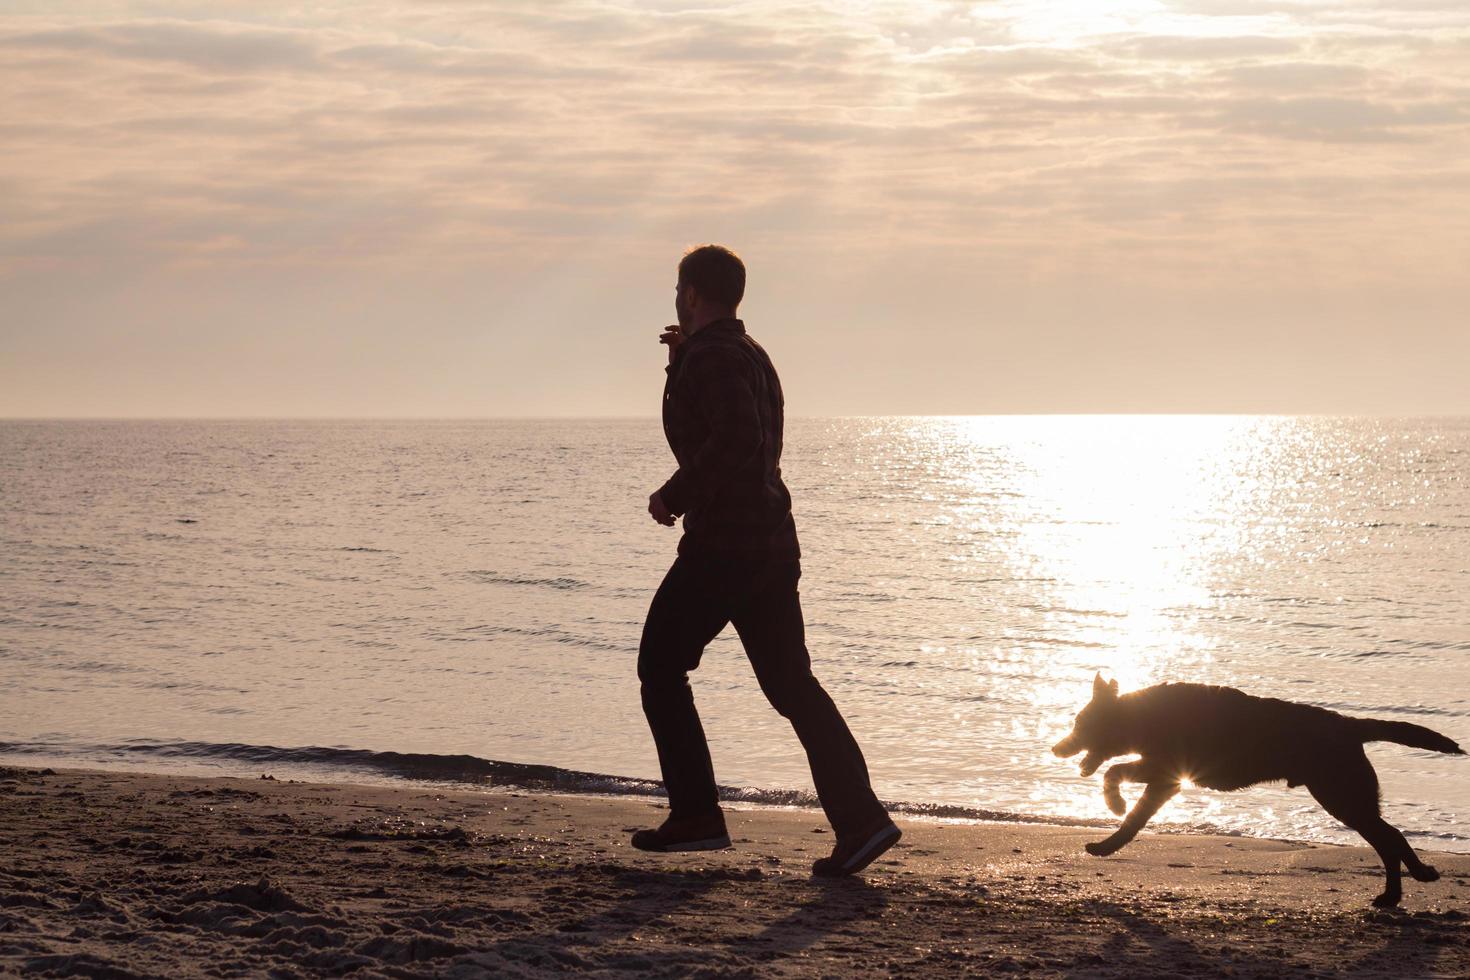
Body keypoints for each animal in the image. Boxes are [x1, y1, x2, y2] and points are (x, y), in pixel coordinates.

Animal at [1058, 675, 1458, 910]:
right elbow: (1134, 819)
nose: (1056, 748)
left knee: (1391, 838)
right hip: (1347, 800)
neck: (1142, 715)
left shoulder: (1164, 772)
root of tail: (1349, 725)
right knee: (1389, 838)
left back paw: (1402, 886)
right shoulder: (1164, 781)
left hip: (1343, 799)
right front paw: (1109, 842)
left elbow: (1114, 775)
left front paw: (1114, 803)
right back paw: (1398, 891)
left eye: (1080, 723)